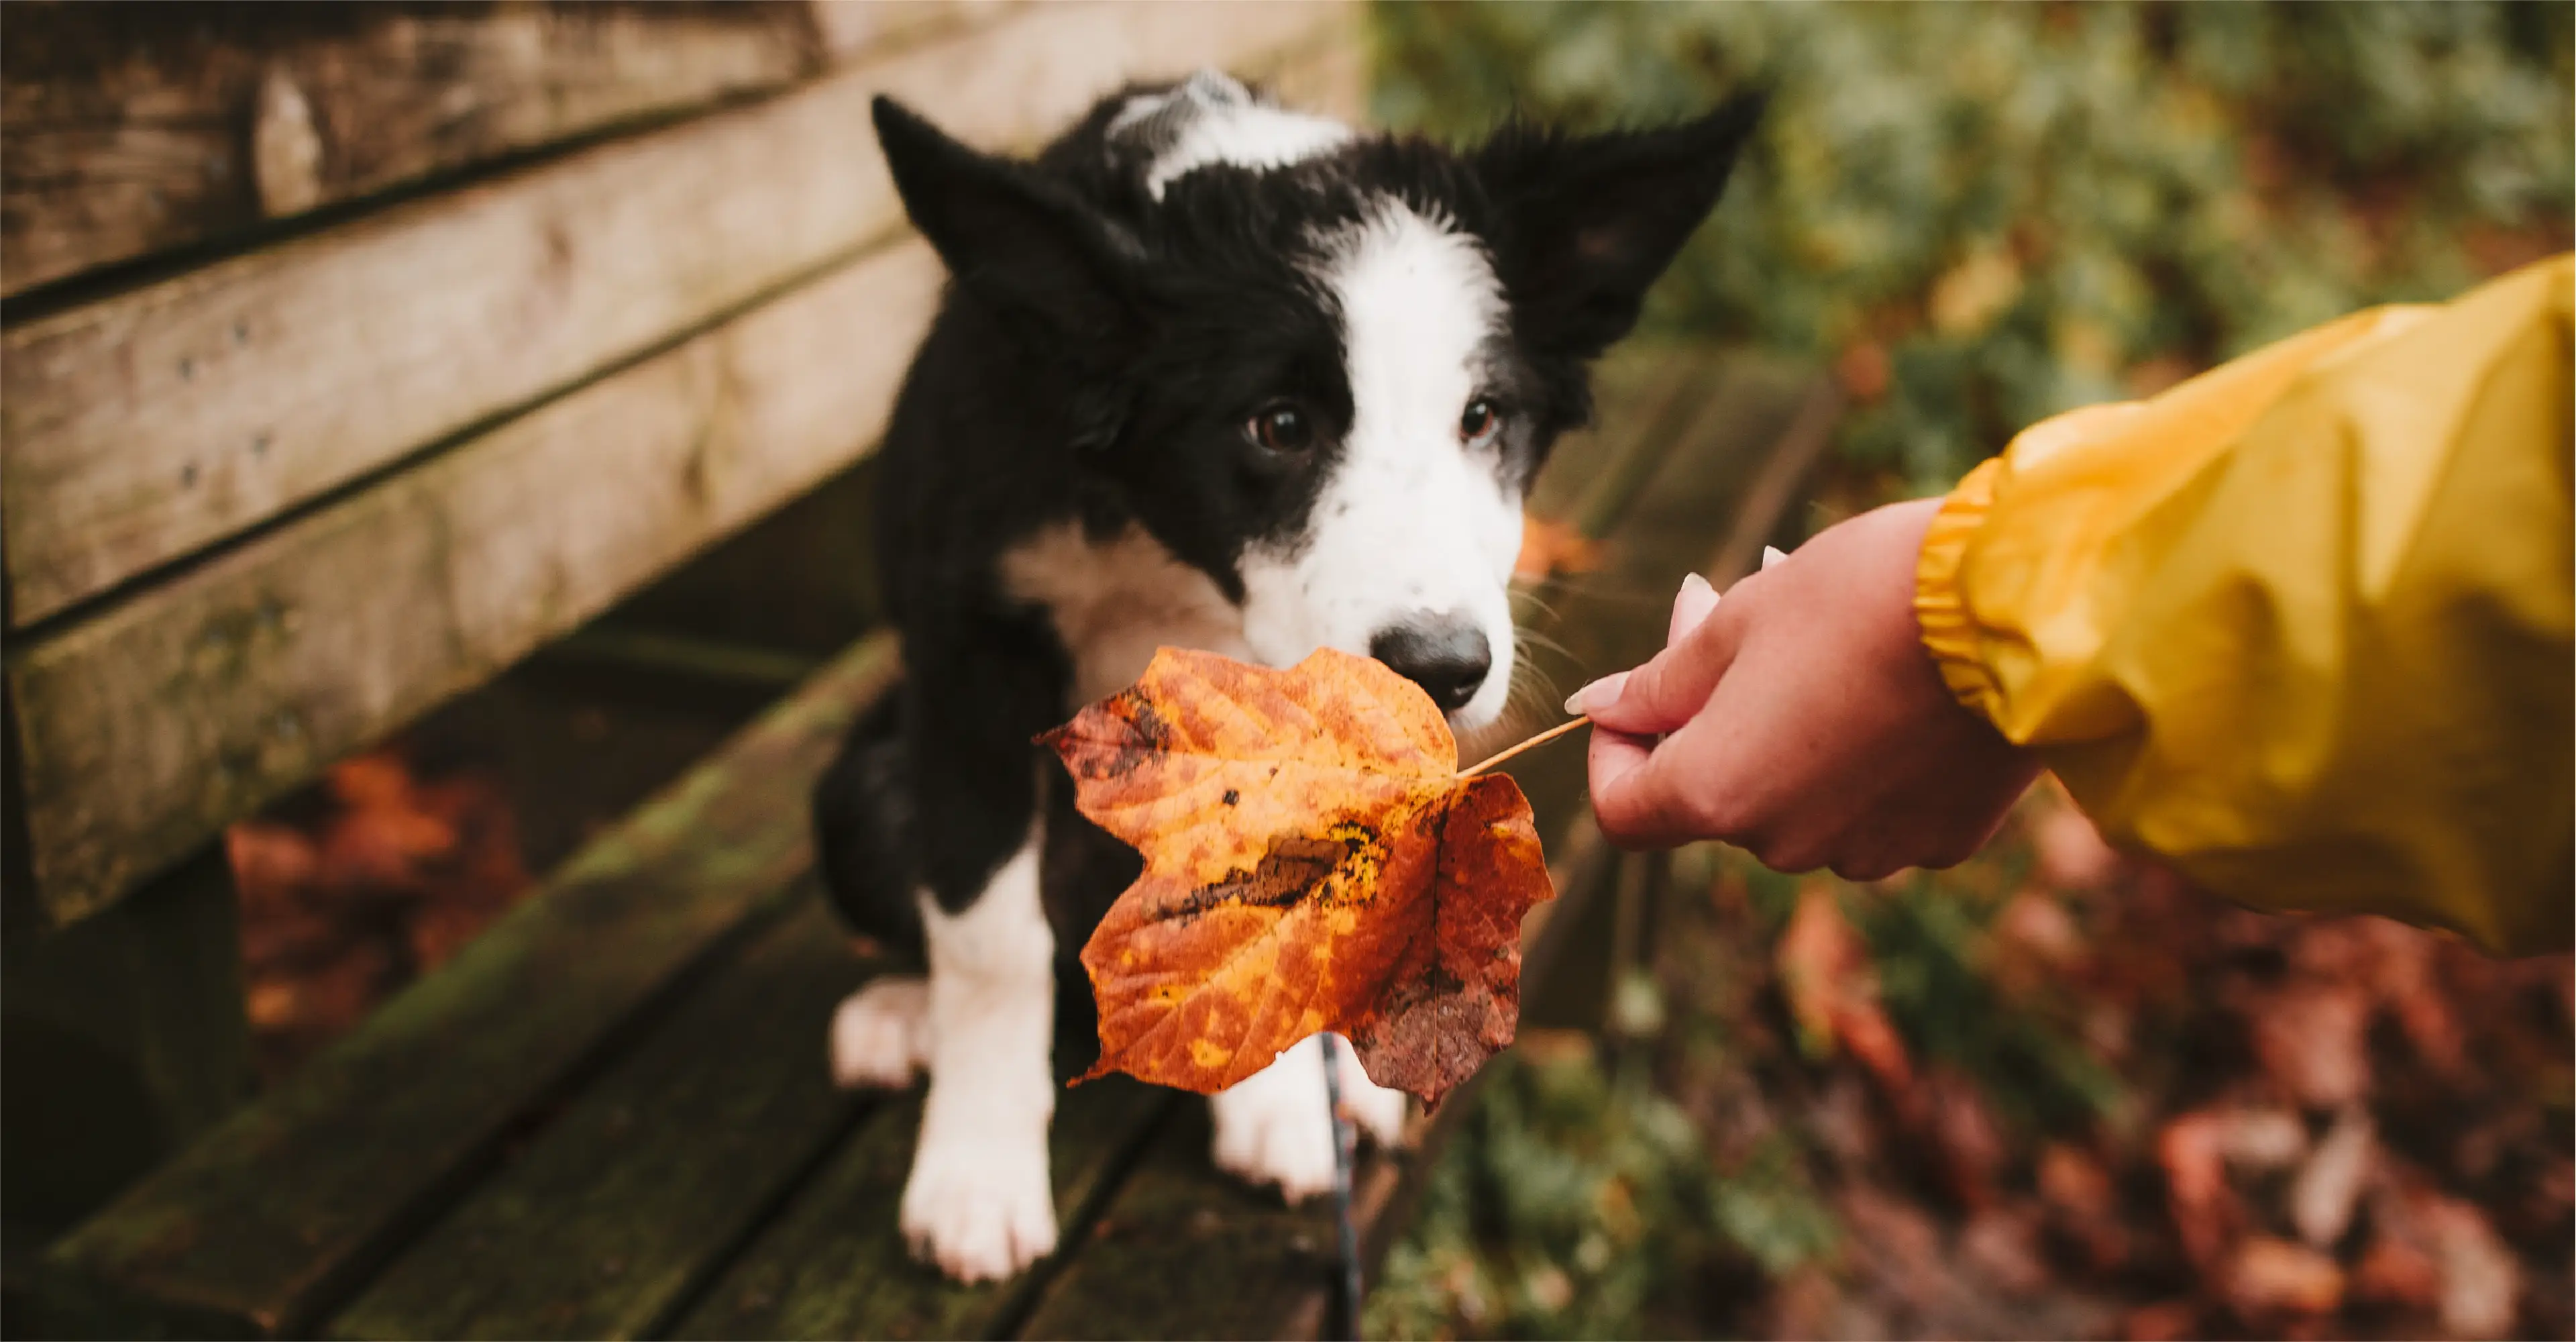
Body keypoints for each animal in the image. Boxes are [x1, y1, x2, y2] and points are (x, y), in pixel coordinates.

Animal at [814, 70, 1762, 1278]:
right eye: (1278, 426)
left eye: (1484, 418)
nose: (1444, 669)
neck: (1163, 539)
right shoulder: (966, 651)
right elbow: (987, 939)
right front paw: (978, 1175)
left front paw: (1281, 1112)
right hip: (862, 784)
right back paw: (903, 1017)